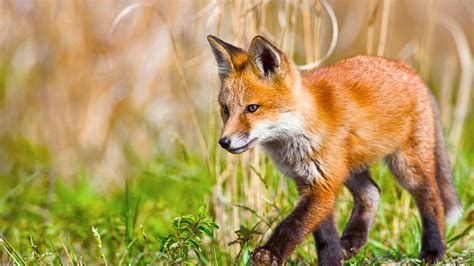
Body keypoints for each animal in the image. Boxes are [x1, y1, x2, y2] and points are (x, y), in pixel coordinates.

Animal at [206, 34, 462, 264]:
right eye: (225, 109)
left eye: (252, 108)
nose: (224, 142)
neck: (299, 132)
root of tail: (410, 70)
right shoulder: (311, 180)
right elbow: (324, 234)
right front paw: (333, 256)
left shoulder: (323, 182)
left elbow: (293, 226)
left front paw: (270, 253)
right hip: (350, 167)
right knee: (372, 192)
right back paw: (352, 240)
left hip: (406, 165)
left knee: (432, 199)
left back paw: (434, 250)